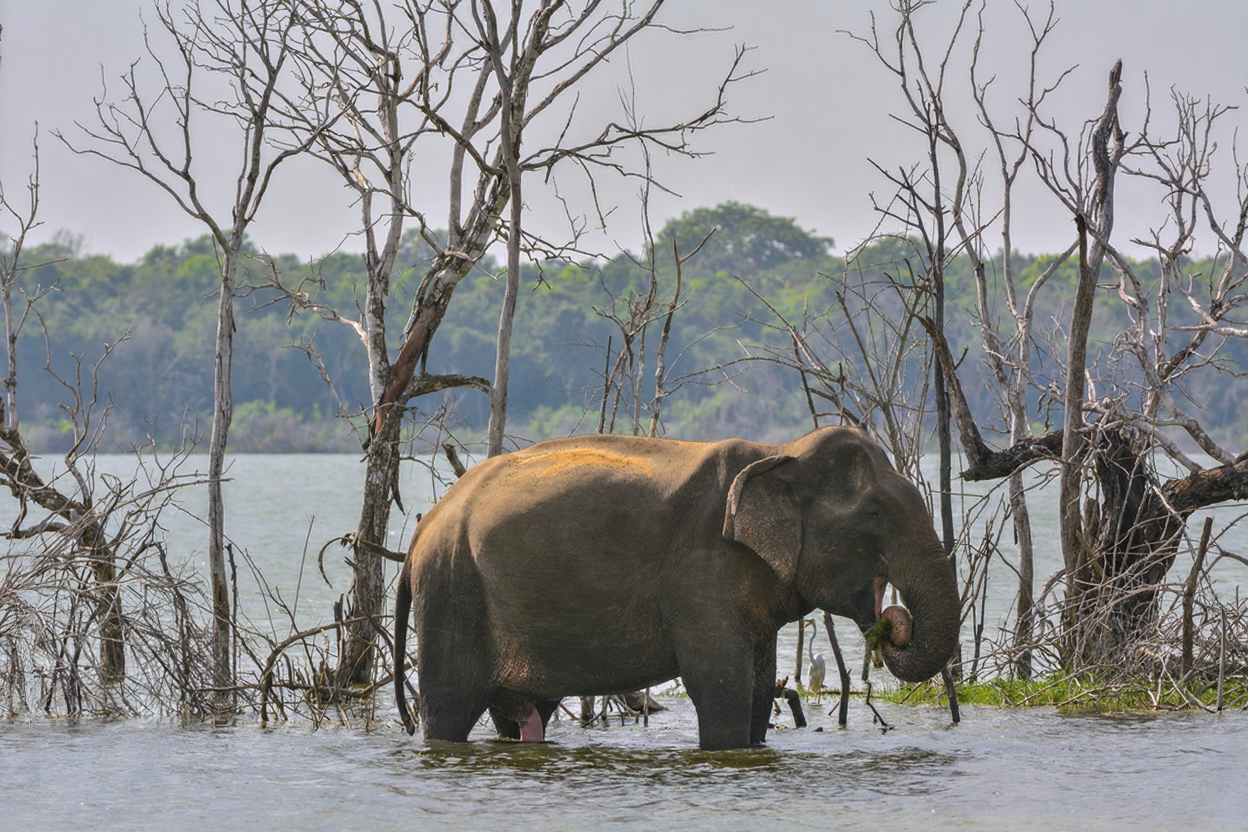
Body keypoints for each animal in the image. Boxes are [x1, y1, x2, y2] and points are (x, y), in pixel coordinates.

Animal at [393, 426, 959, 750]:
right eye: (874, 513)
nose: (894, 625)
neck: (779, 453)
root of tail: (423, 529)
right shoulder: (703, 572)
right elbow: (721, 683)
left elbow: (759, 685)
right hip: (452, 593)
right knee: (449, 707)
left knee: (521, 711)